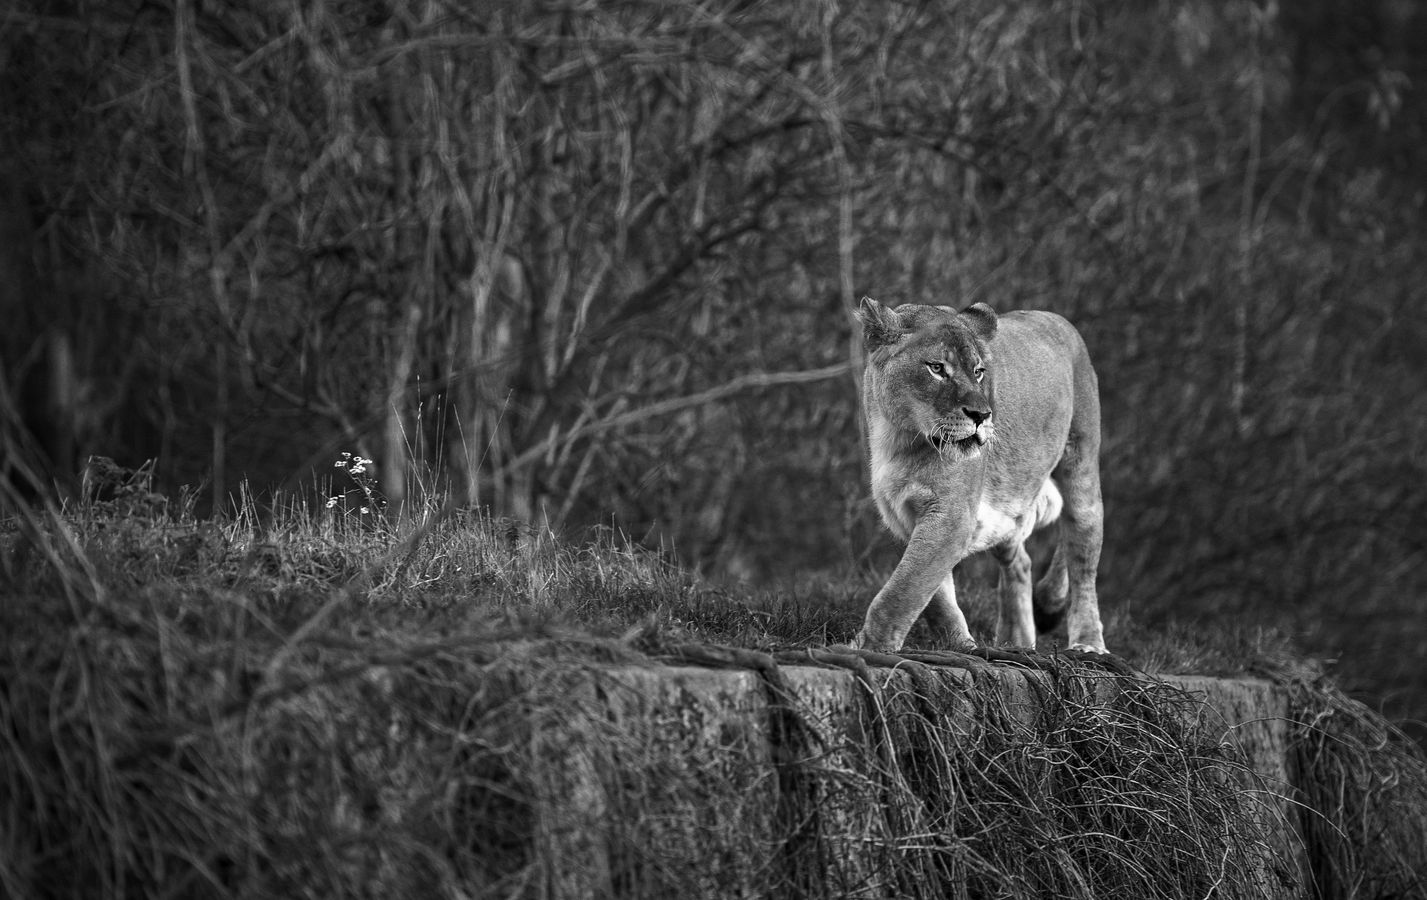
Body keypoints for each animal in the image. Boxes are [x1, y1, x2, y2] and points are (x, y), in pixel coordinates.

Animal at [849, 297, 1108, 654]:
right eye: (937, 368)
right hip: (1006, 507)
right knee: (1020, 561)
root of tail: (1057, 319)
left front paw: (869, 647)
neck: (899, 437)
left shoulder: (951, 514)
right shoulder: (906, 516)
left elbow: (903, 591)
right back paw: (1016, 641)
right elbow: (934, 597)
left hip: (1080, 467)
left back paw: (1086, 642)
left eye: (978, 371)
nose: (982, 415)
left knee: (1081, 557)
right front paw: (959, 644)